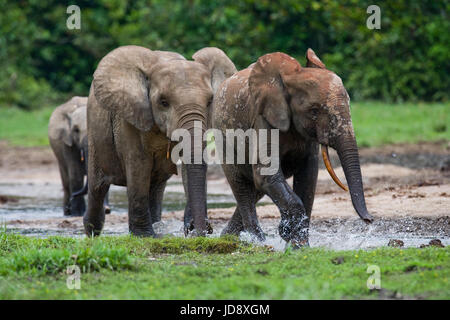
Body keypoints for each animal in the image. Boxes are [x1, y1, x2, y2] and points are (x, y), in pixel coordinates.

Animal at [85, 45, 237, 238]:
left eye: (210, 101)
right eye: (163, 102)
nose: (204, 230)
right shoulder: (130, 116)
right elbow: (138, 165)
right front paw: (143, 236)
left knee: (155, 187)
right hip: (95, 134)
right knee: (97, 187)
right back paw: (92, 232)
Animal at [213, 48, 374, 248]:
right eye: (314, 111)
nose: (369, 220)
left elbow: (307, 177)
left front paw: (298, 245)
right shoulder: (262, 118)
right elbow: (267, 173)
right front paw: (289, 235)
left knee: (256, 188)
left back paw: (228, 236)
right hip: (223, 139)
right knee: (242, 186)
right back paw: (256, 241)